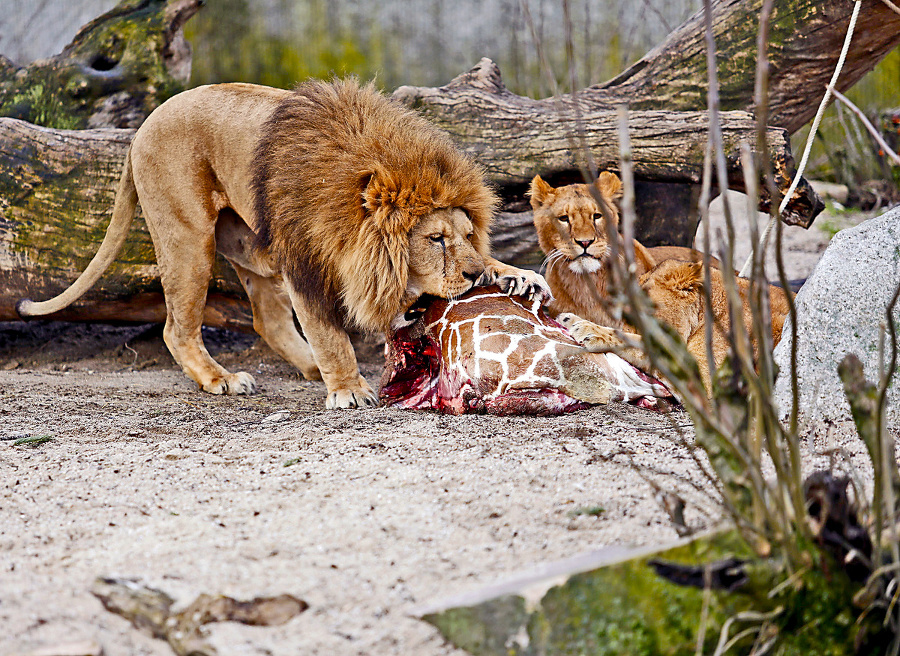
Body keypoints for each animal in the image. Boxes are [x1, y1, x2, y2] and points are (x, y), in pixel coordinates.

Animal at [17, 79, 544, 408]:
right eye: (435, 238)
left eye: (468, 235)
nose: (473, 275)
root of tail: (140, 129)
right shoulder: (305, 261)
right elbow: (330, 333)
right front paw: (348, 389)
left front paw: (518, 276)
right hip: (190, 239)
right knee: (177, 328)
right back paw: (224, 379)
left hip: (251, 245)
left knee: (266, 320)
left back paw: (307, 367)